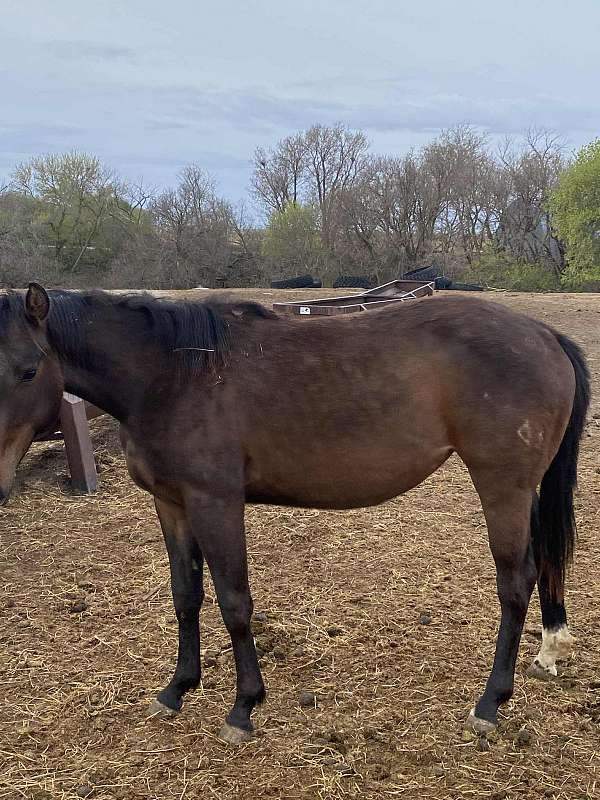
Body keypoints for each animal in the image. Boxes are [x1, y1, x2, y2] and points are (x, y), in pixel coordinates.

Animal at [0, 284, 590, 744]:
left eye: (27, 371)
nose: (1, 481)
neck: (171, 373)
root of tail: (544, 335)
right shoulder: (171, 504)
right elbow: (185, 596)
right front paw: (177, 689)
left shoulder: (216, 503)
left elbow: (234, 602)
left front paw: (243, 708)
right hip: (524, 489)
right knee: (543, 564)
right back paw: (548, 653)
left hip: (503, 487)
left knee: (516, 581)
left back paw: (491, 703)